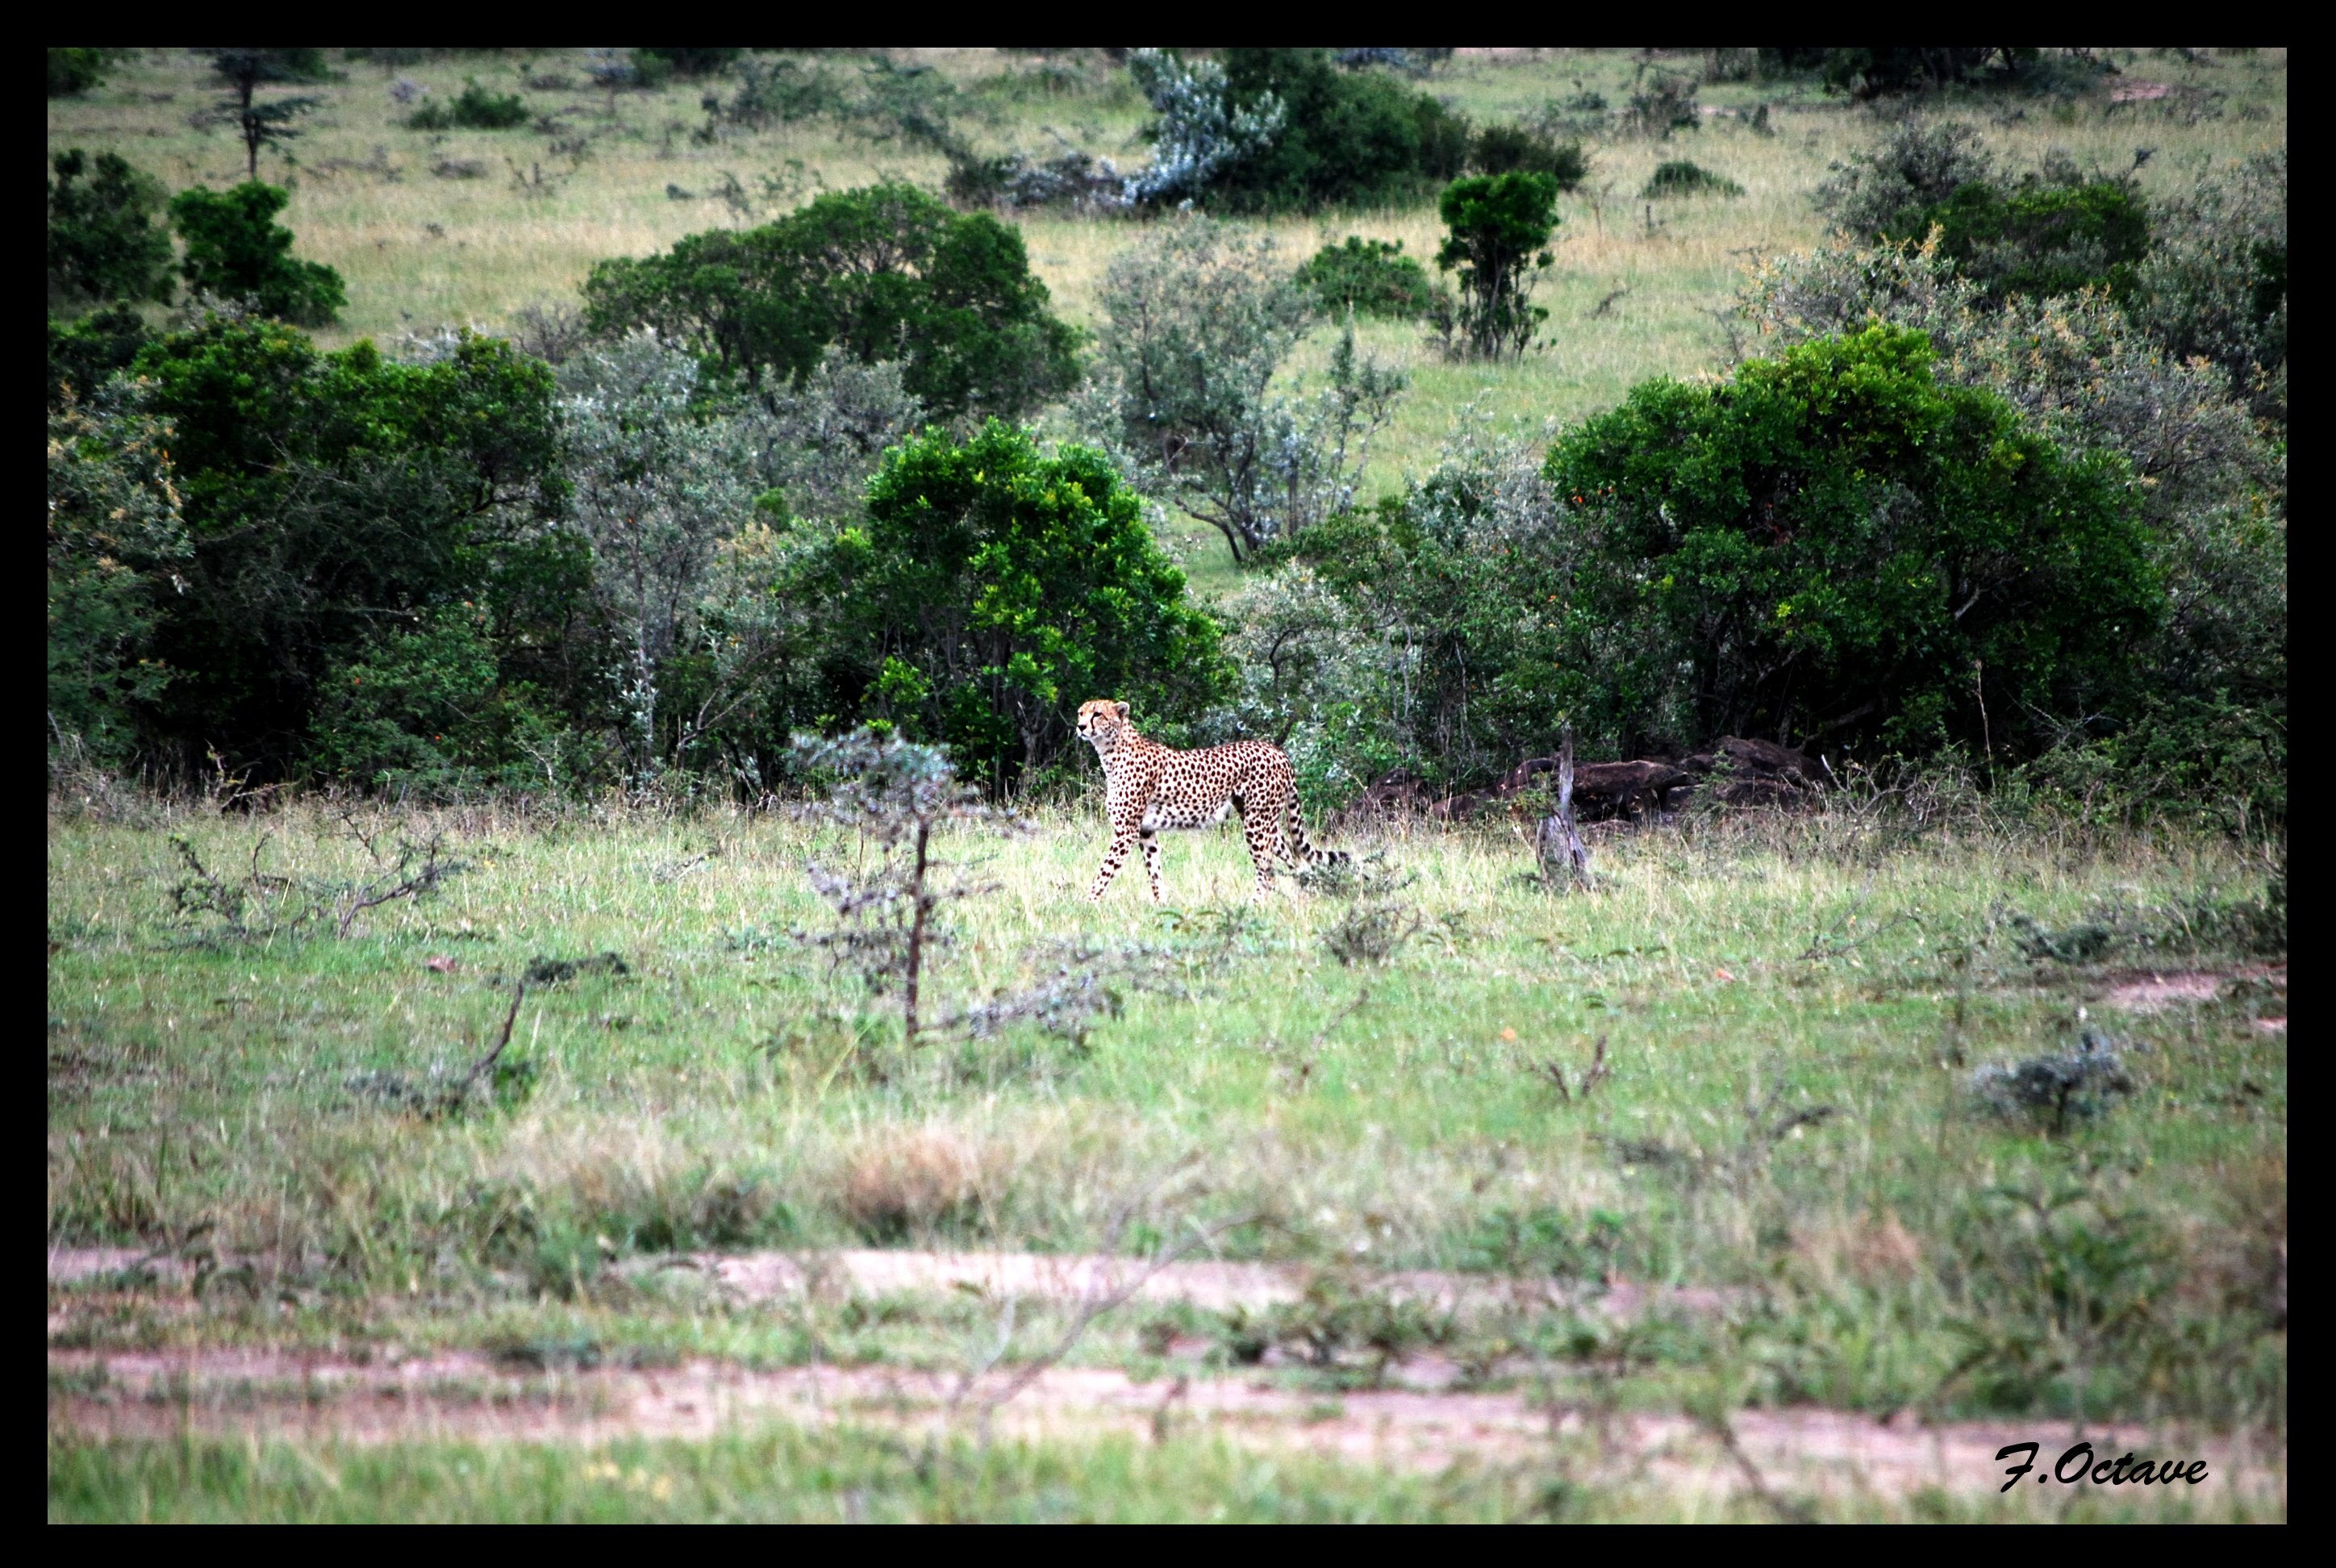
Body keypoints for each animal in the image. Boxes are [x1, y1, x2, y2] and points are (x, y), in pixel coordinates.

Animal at [1074, 701, 1354, 907]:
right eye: (1081, 712)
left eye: (1097, 714)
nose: (1079, 726)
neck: (1112, 752)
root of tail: (1277, 750)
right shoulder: (1145, 831)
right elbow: (1154, 870)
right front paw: (1161, 903)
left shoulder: (1126, 832)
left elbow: (1105, 870)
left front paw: (1088, 903)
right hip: (1265, 823)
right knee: (1291, 856)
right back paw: (1301, 895)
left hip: (1256, 823)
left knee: (1267, 867)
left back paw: (1256, 904)